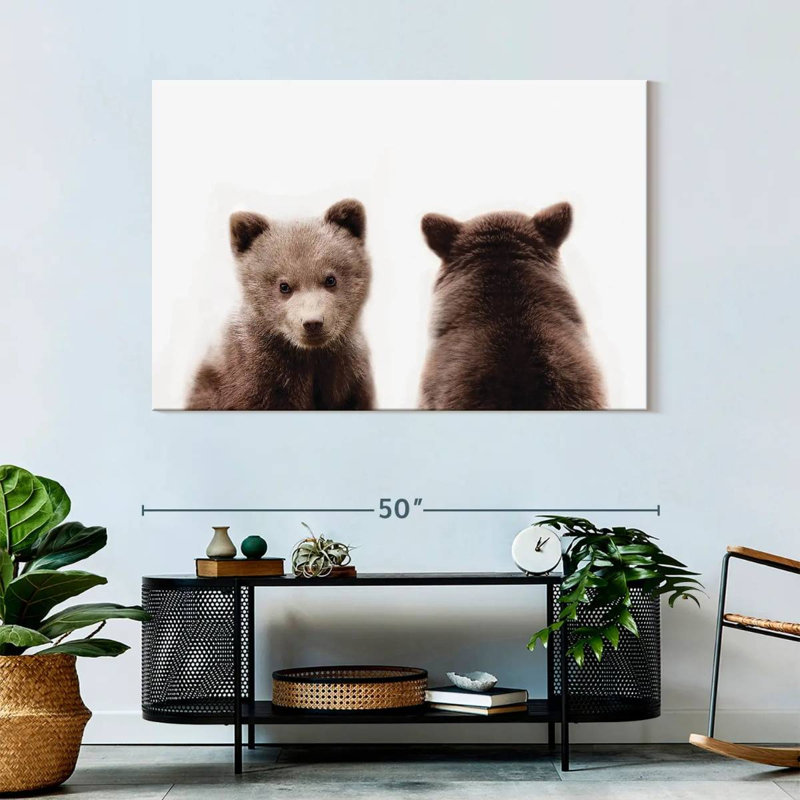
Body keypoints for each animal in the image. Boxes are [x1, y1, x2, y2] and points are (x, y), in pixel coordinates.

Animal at [186, 199, 375, 410]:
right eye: (284, 286)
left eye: (330, 279)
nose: (312, 323)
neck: (310, 357)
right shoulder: (254, 377)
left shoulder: (349, 376)